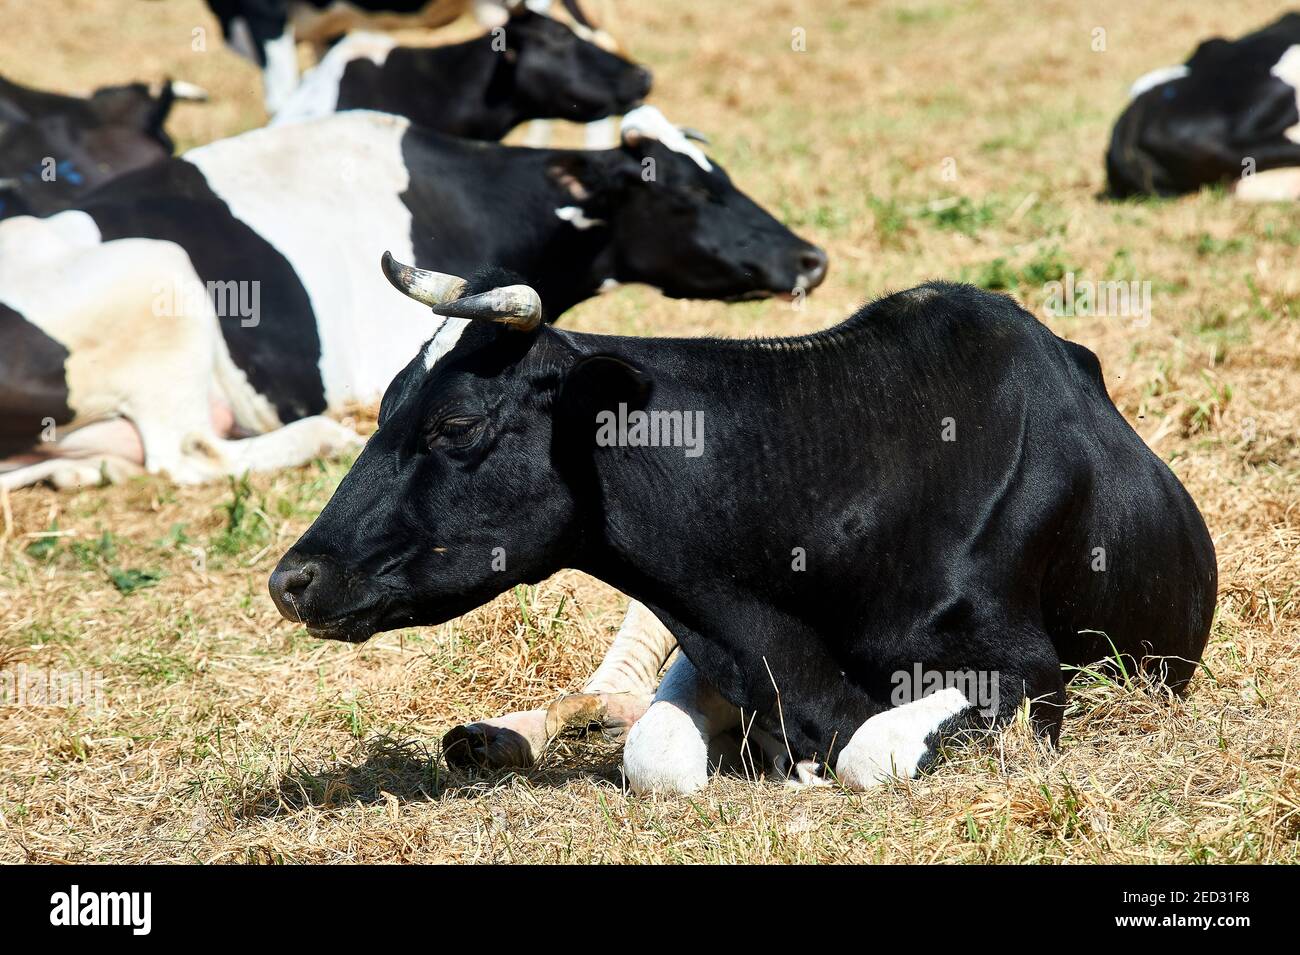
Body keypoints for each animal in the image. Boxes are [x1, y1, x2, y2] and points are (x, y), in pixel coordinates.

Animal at [0, 108, 826, 488]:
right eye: (688, 194)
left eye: (723, 173)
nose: (810, 258)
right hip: (158, 269)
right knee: (186, 454)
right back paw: (325, 435)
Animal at [266, 259, 1216, 789]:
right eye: (386, 403)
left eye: (456, 423)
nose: (290, 578)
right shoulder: (706, 622)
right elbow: (653, 752)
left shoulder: (1027, 671)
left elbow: (869, 753)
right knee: (609, 692)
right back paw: (495, 739)